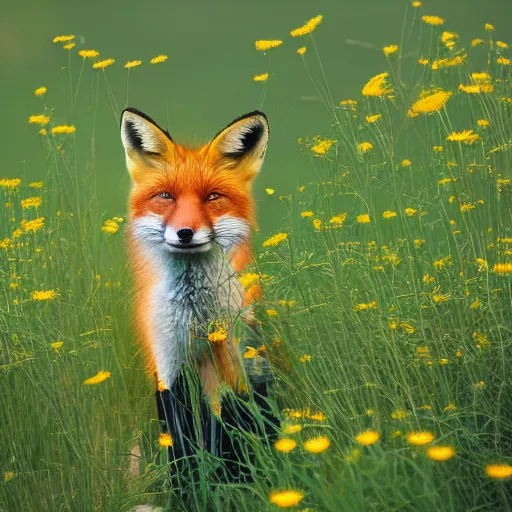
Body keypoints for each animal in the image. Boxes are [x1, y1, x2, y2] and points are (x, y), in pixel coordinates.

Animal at [120, 108, 276, 468]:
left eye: (212, 197)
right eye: (166, 196)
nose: (185, 233)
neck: (195, 319)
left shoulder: (231, 373)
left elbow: (226, 437)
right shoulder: (167, 369)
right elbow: (182, 450)